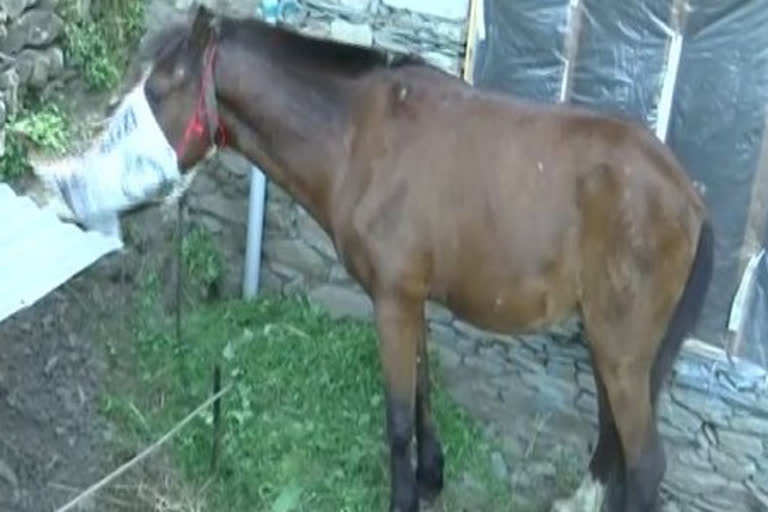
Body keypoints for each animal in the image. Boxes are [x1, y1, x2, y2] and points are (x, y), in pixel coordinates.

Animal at [136, 5, 712, 512]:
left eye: (158, 91)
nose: (137, 194)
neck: (361, 137)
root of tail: (688, 192)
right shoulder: (410, 300)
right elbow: (422, 392)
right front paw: (432, 477)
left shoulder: (392, 301)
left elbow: (397, 416)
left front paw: (404, 498)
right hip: (608, 341)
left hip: (621, 348)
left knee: (645, 464)